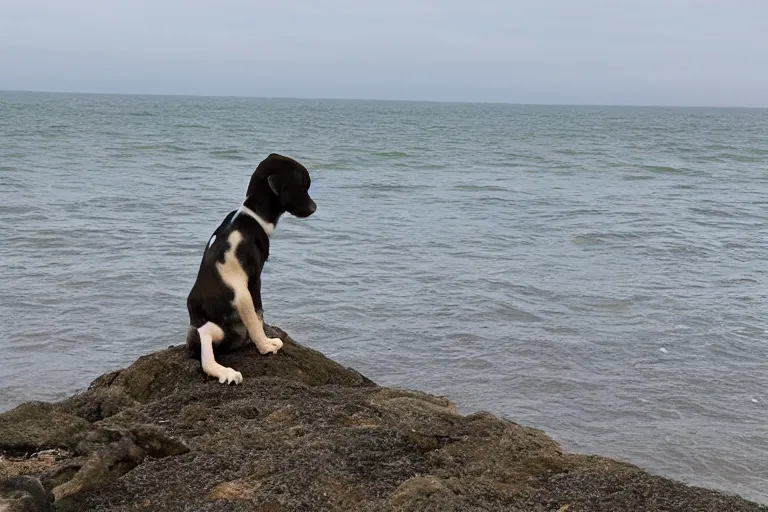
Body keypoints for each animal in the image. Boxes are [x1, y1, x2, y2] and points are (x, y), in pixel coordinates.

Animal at [185, 152, 316, 384]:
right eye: (302, 185)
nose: (314, 207)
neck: (251, 215)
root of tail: (199, 325)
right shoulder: (253, 280)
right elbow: (259, 314)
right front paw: (266, 344)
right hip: (225, 316)